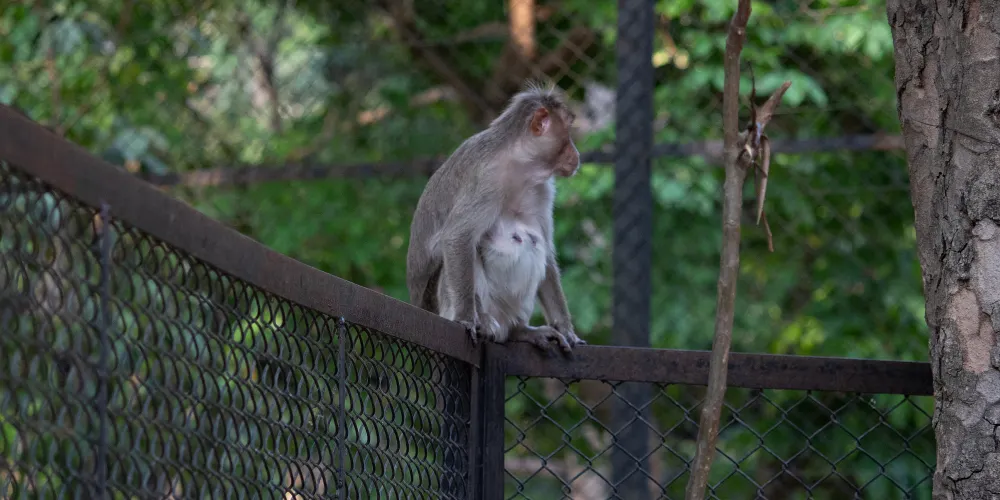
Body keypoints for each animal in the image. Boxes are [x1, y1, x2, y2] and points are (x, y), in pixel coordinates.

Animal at [406, 85, 586, 354]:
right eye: (568, 133)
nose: (577, 154)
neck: (519, 165)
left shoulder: (543, 189)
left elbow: (547, 250)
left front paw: (565, 328)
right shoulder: (486, 178)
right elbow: (458, 237)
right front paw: (467, 318)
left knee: (533, 241)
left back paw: (519, 331)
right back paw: (484, 319)